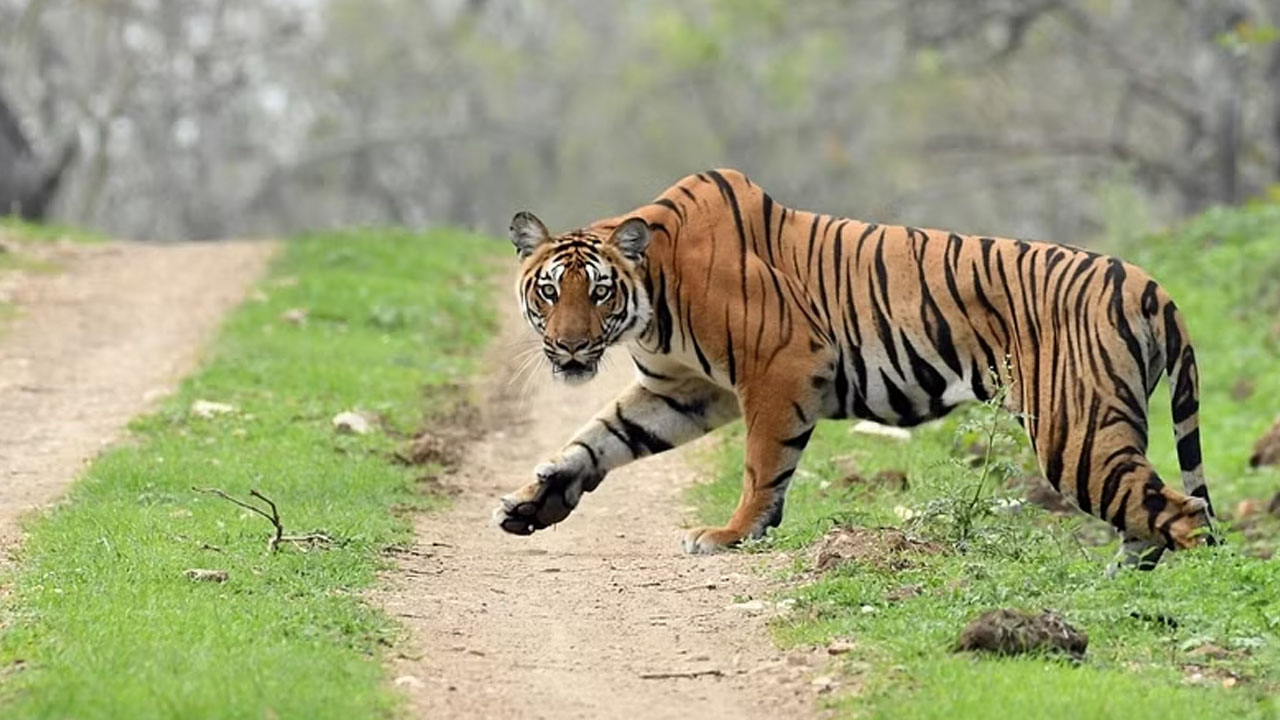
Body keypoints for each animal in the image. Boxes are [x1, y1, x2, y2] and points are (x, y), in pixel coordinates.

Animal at [493, 169, 1215, 571]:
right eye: (550, 292)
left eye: (599, 292)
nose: (570, 348)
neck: (650, 296)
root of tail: (1151, 285)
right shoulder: (683, 390)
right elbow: (597, 438)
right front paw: (533, 503)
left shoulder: (780, 365)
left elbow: (762, 464)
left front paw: (731, 535)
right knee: (1150, 519)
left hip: (1076, 428)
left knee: (1184, 515)